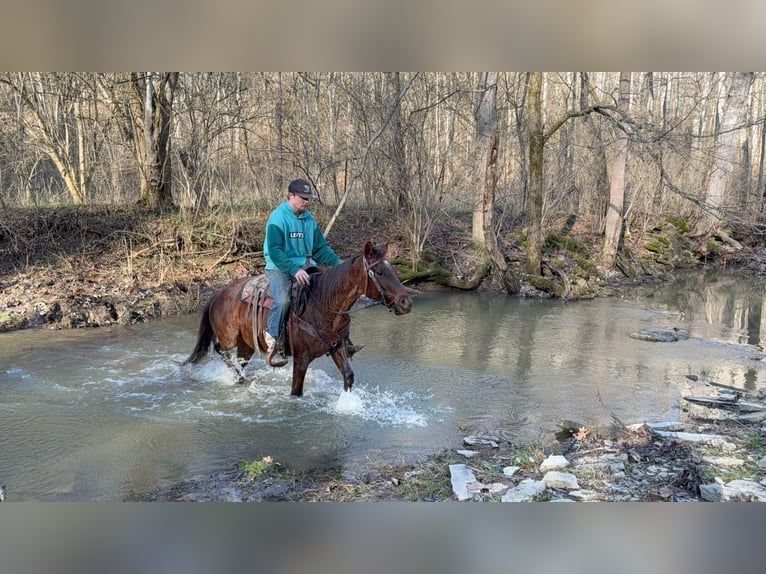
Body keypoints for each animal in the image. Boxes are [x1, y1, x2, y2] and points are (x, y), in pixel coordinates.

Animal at [184, 241, 413, 396]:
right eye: (379, 271)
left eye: (392, 268)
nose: (406, 303)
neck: (322, 304)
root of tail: (217, 295)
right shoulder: (301, 358)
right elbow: (296, 391)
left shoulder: (337, 346)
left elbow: (348, 375)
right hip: (229, 337)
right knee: (220, 349)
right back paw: (236, 374)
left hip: (246, 344)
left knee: (240, 359)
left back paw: (240, 377)